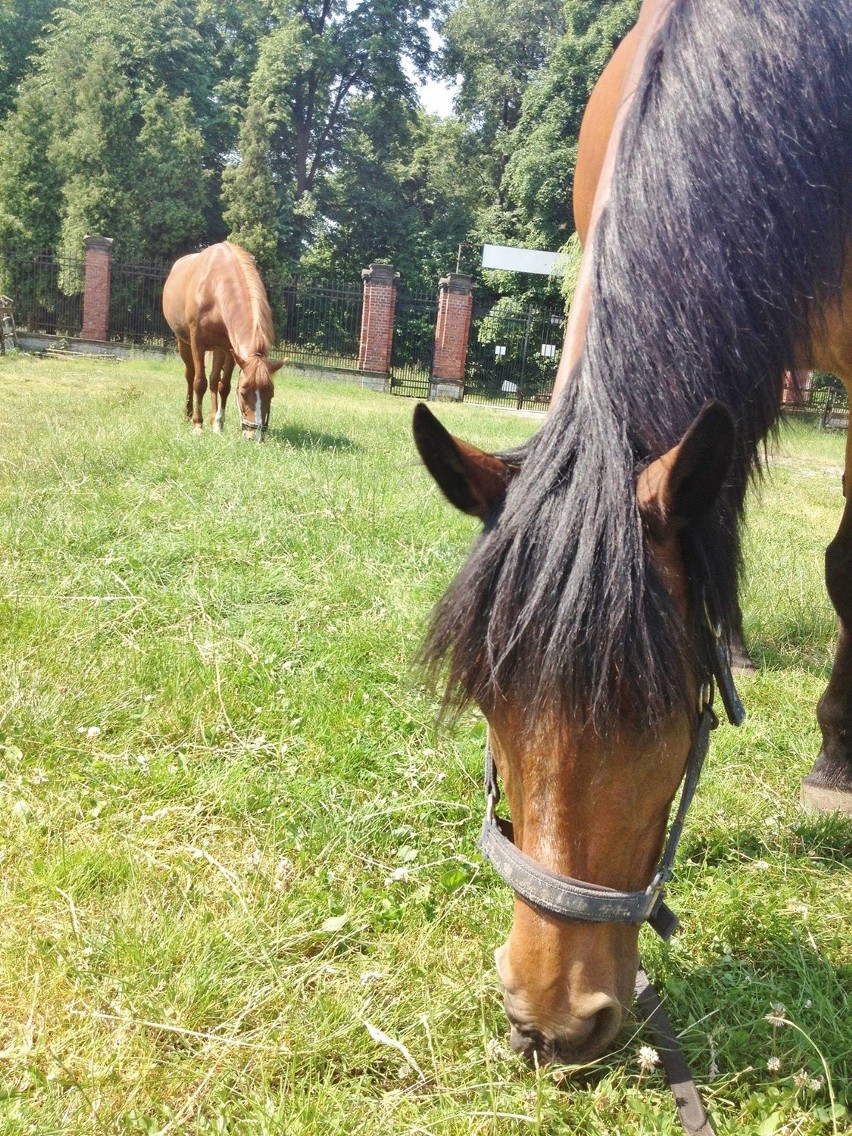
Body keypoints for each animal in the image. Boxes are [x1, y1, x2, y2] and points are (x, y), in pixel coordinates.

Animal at [159, 241, 280, 440]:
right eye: (244, 391)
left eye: (270, 394)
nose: (254, 436)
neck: (214, 288)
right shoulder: (197, 344)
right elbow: (199, 382)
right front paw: (197, 425)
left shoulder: (230, 350)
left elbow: (224, 386)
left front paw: (218, 424)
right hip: (183, 342)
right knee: (190, 375)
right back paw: (188, 414)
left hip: (219, 349)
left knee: (214, 380)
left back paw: (212, 419)